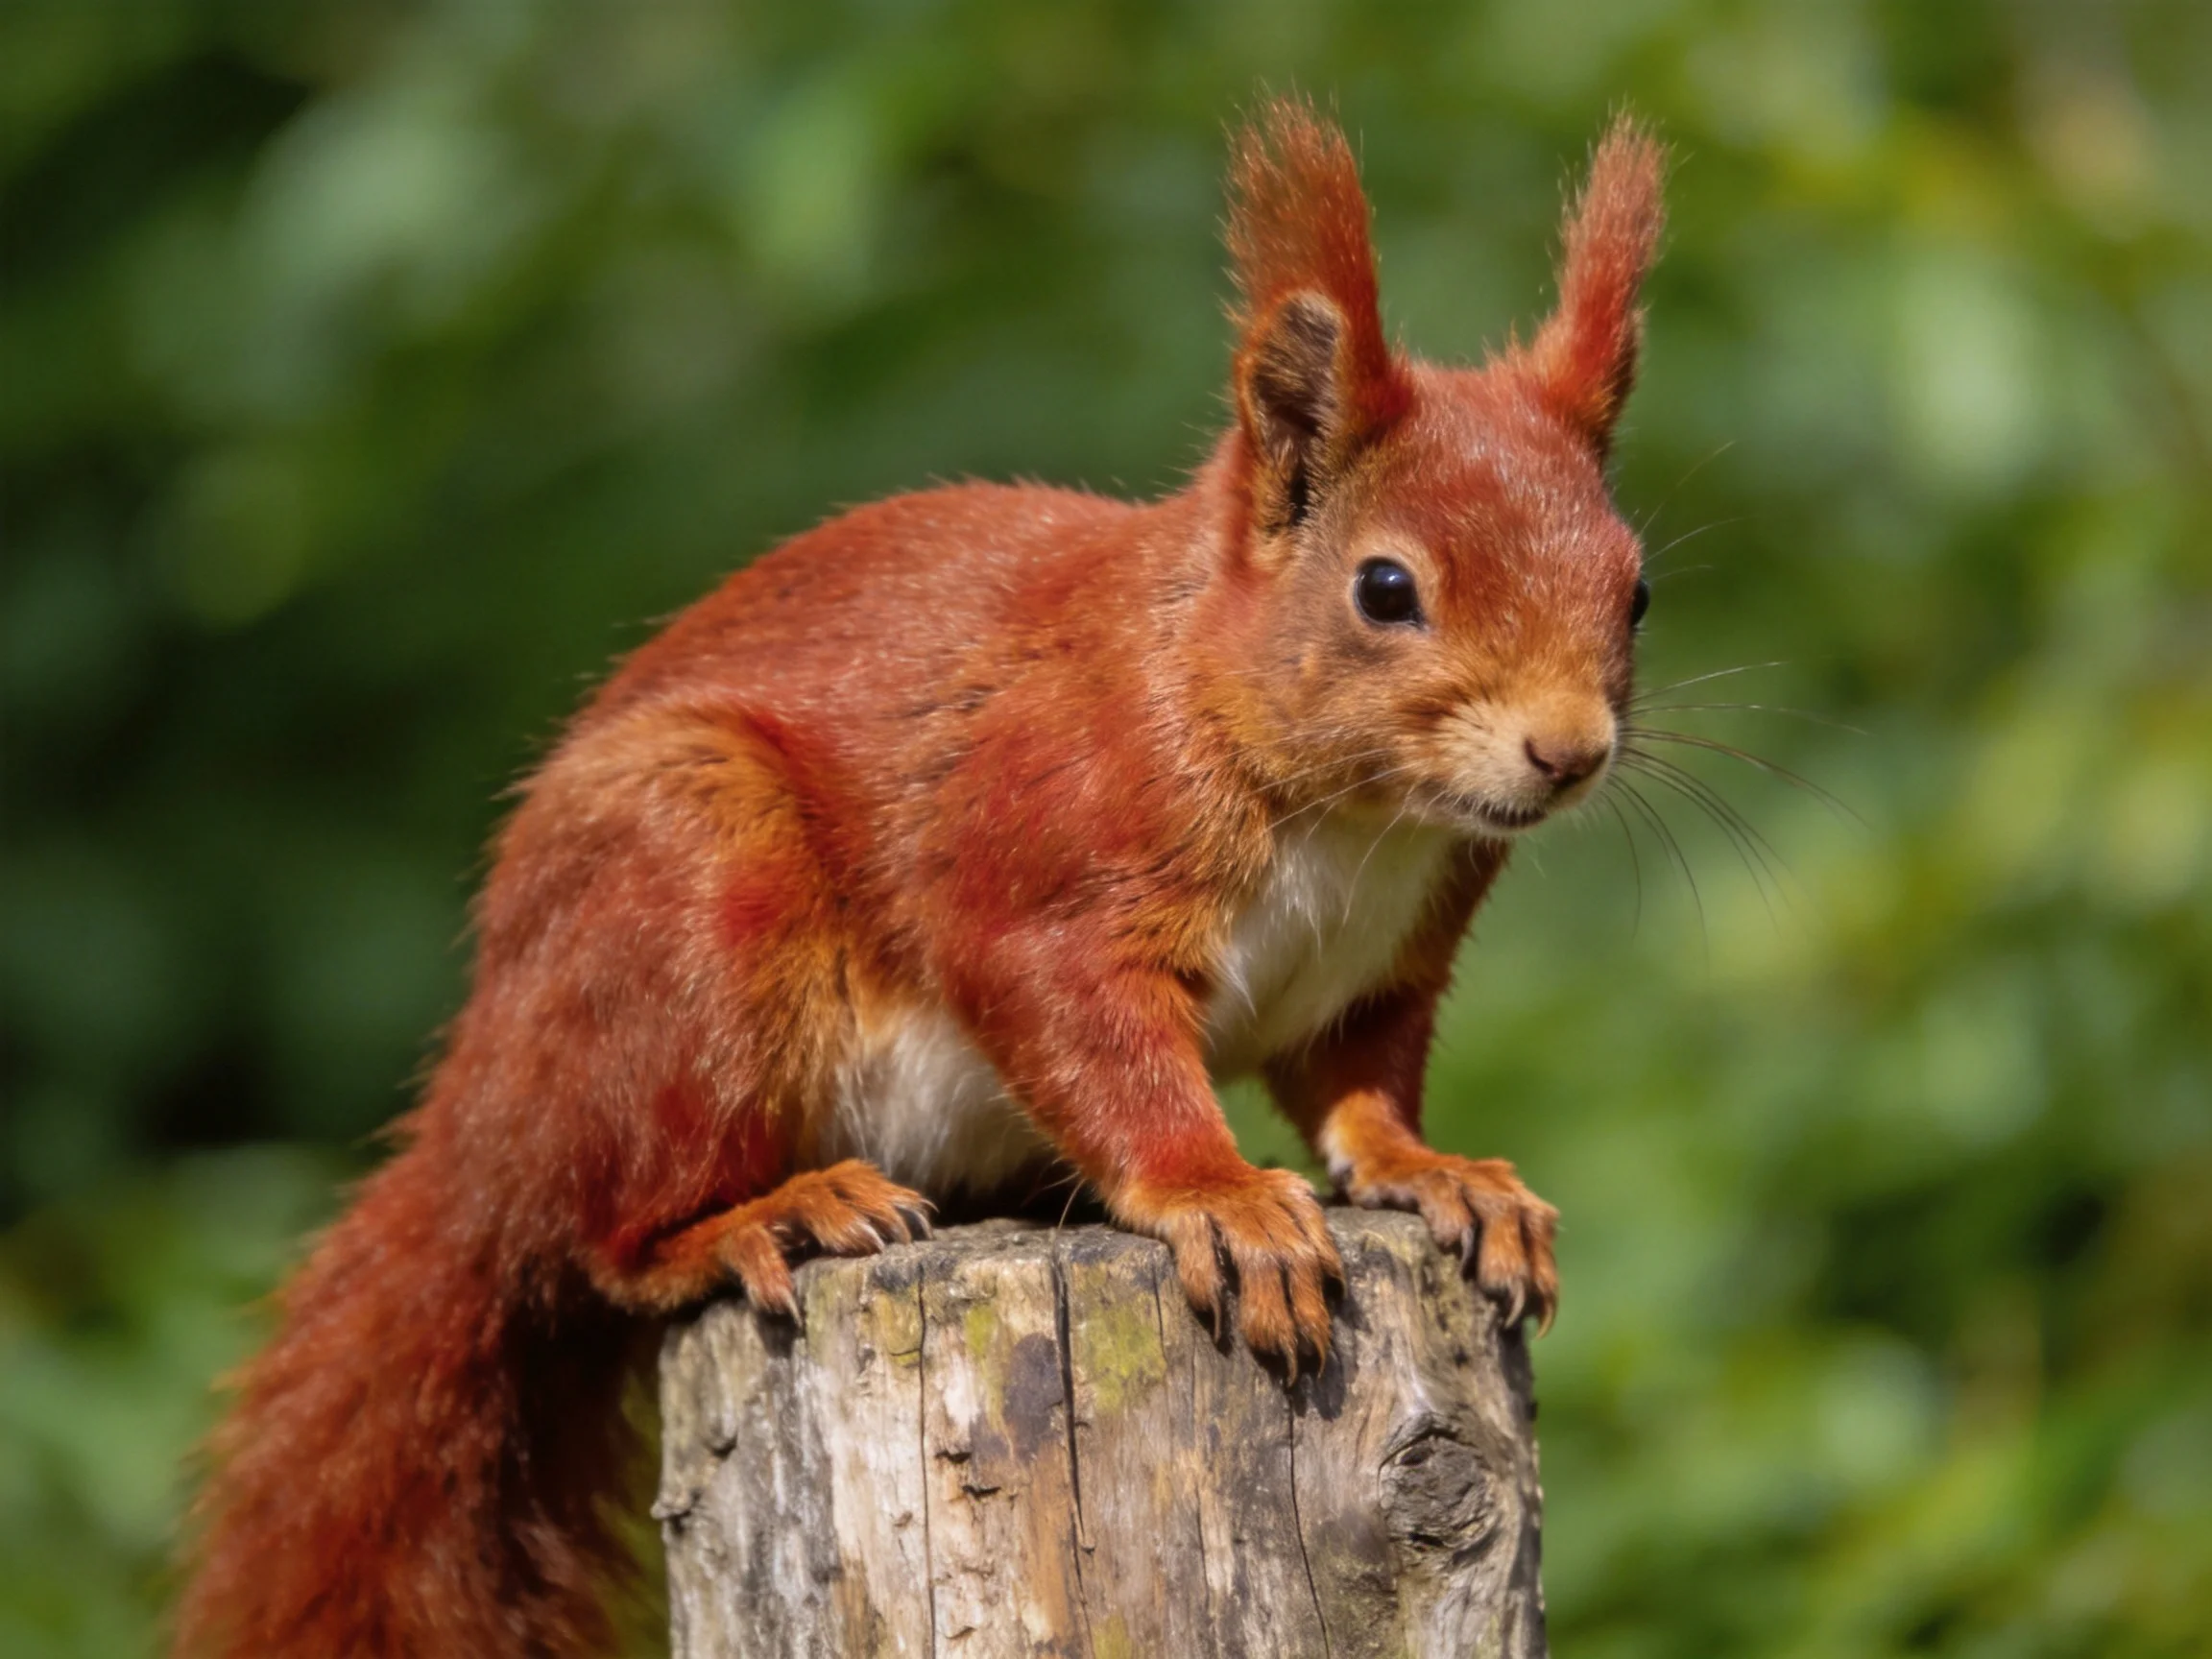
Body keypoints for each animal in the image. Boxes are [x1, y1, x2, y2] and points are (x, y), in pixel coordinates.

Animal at [174, 100, 1664, 1658]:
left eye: (1637, 590)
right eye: (1386, 589)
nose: (1568, 751)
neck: (1356, 819)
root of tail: (484, 1115)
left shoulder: (1385, 967)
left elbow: (1359, 1088)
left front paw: (1442, 1173)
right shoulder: (1048, 850)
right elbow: (1085, 1031)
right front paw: (1223, 1196)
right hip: (688, 899)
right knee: (606, 1239)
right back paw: (762, 1215)